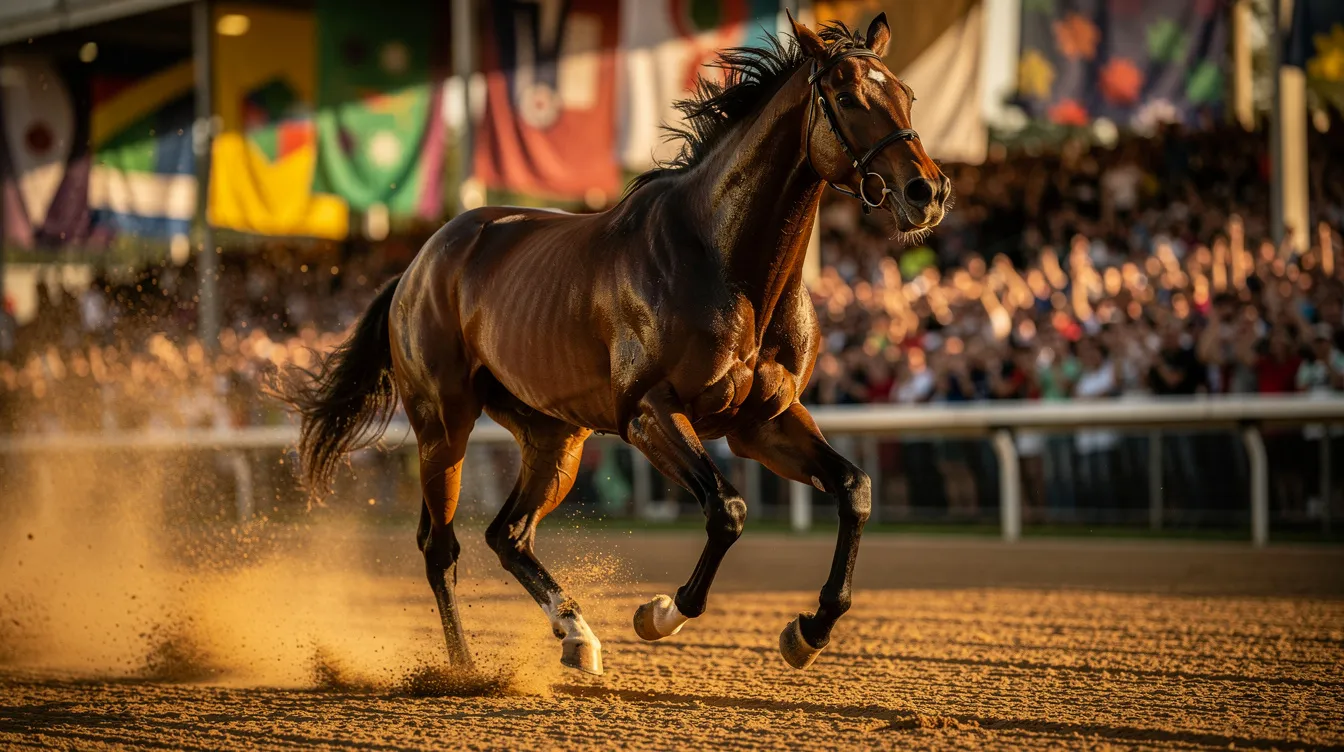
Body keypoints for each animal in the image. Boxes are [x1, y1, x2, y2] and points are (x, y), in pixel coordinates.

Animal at [280, 13, 948, 675]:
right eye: (846, 95)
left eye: (907, 93)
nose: (928, 192)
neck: (723, 259)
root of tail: (417, 264)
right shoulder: (649, 412)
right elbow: (727, 510)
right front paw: (661, 613)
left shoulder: (763, 421)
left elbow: (855, 490)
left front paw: (809, 629)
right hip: (443, 425)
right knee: (440, 545)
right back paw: (465, 669)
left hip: (556, 436)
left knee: (509, 534)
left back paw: (577, 633)